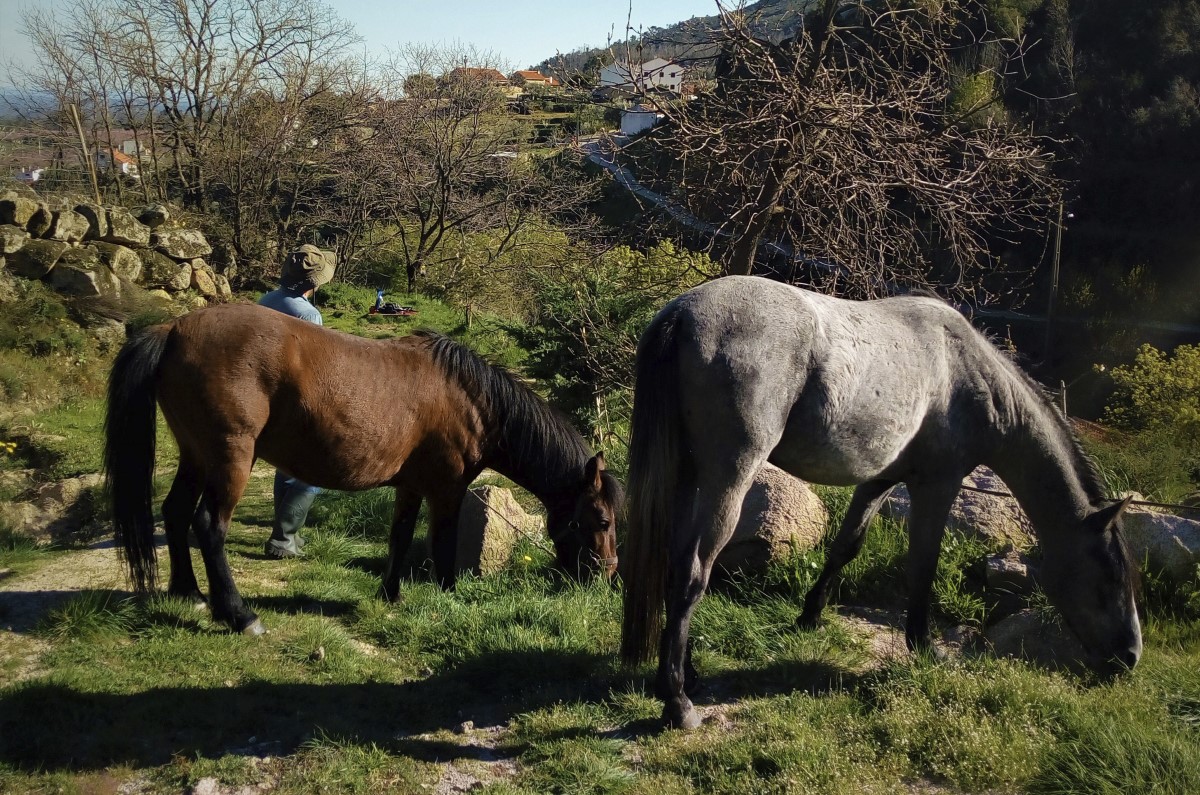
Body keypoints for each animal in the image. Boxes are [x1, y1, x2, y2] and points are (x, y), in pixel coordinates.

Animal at [104, 305, 624, 634]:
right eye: (601, 520)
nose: (608, 575)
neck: (474, 400)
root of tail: (172, 329)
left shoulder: (411, 487)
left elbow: (400, 537)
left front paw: (390, 594)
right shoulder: (447, 490)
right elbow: (442, 544)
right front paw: (450, 596)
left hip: (196, 456)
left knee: (174, 513)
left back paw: (187, 593)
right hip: (230, 458)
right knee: (208, 526)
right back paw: (239, 616)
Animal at [624, 277, 1137, 730]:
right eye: (1110, 577)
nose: (1130, 656)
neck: (966, 370)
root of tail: (683, 313)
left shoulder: (880, 481)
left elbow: (845, 547)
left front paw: (810, 616)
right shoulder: (938, 485)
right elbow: (923, 565)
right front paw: (923, 646)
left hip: (691, 477)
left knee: (675, 564)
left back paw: (687, 675)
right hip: (730, 475)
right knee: (694, 570)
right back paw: (678, 703)